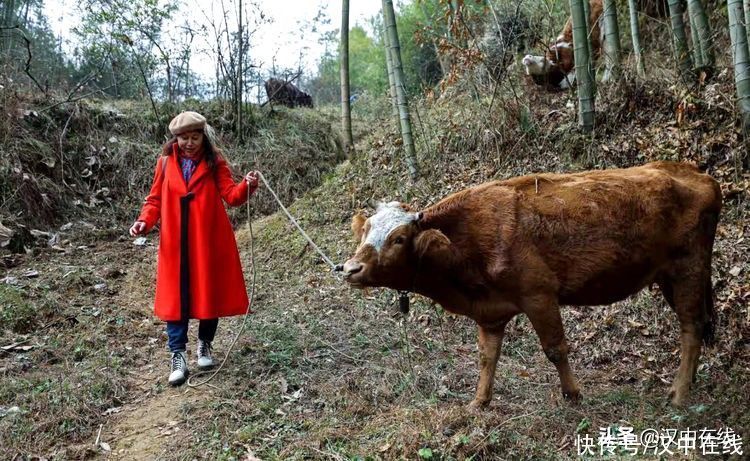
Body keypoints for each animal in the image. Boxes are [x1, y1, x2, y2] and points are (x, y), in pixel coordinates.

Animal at [346, 162, 724, 406]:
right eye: (365, 232)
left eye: (398, 239)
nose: (349, 267)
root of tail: (696, 172)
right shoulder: (491, 313)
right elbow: (487, 357)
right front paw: (478, 403)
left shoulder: (539, 294)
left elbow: (555, 348)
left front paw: (573, 395)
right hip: (670, 277)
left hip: (688, 268)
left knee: (691, 326)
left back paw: (679, 395)